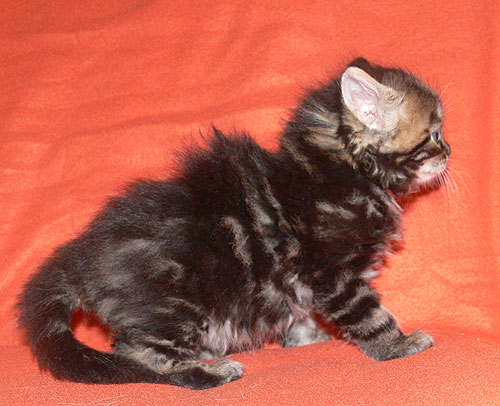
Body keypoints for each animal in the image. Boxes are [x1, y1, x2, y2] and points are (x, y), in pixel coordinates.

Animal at [17, 57, 451, 390]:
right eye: (434, 133)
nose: (448, 150)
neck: (340, 170)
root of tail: (80, 253)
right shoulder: (334, 271)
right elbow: (368, 315)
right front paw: (397, 345)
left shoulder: (301, 282)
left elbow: (300, 310)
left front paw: (306, 340)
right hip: (175, 302)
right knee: (138, 355)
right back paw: (207, 373)